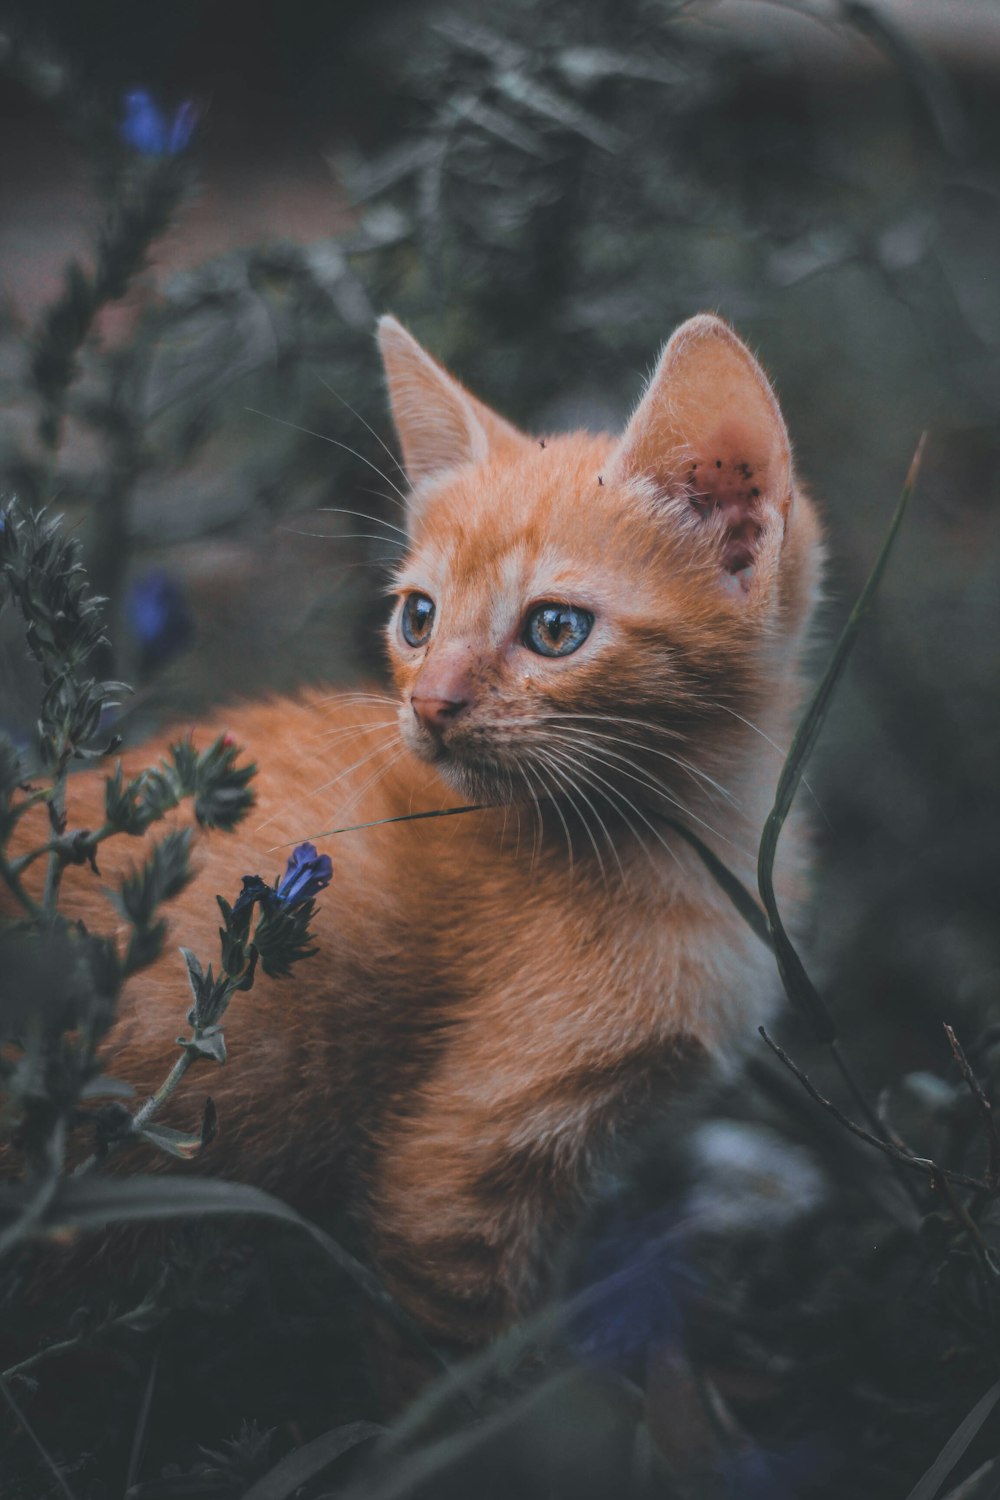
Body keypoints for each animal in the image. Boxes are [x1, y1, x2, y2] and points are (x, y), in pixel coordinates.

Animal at [13, 313, 821, 1362]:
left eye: (555, 629)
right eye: (419, 617)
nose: (430, 703)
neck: (685, 846)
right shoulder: (454, 1180)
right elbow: (462, 1378)